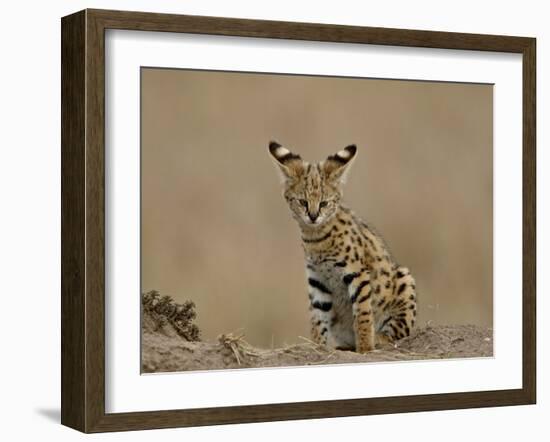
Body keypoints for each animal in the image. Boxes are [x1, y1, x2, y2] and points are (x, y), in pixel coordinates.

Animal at [268, 142, 418, 352]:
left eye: (324, 203)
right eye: (303, 202)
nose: (313, 216)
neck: (316, 238)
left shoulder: (357, 273)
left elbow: (363, 313)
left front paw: (365, 348)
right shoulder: (317, 279)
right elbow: (317, 318)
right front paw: (317, 347)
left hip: (405, 279)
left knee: (399, 331)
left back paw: (378, 338)